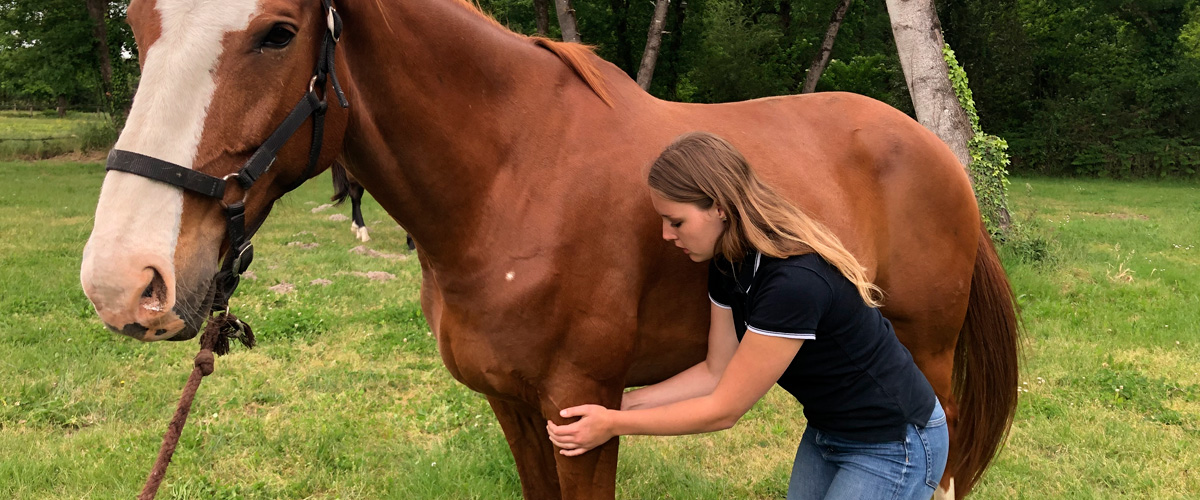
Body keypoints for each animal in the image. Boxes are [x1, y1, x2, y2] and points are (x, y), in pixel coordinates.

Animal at [77, 0, 1012, 496]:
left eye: (275, 31)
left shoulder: (582, 410)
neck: (511, 178)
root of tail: (932, 147)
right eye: (138, 24)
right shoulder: (515, 406)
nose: (124, 281)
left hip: (927, 352)